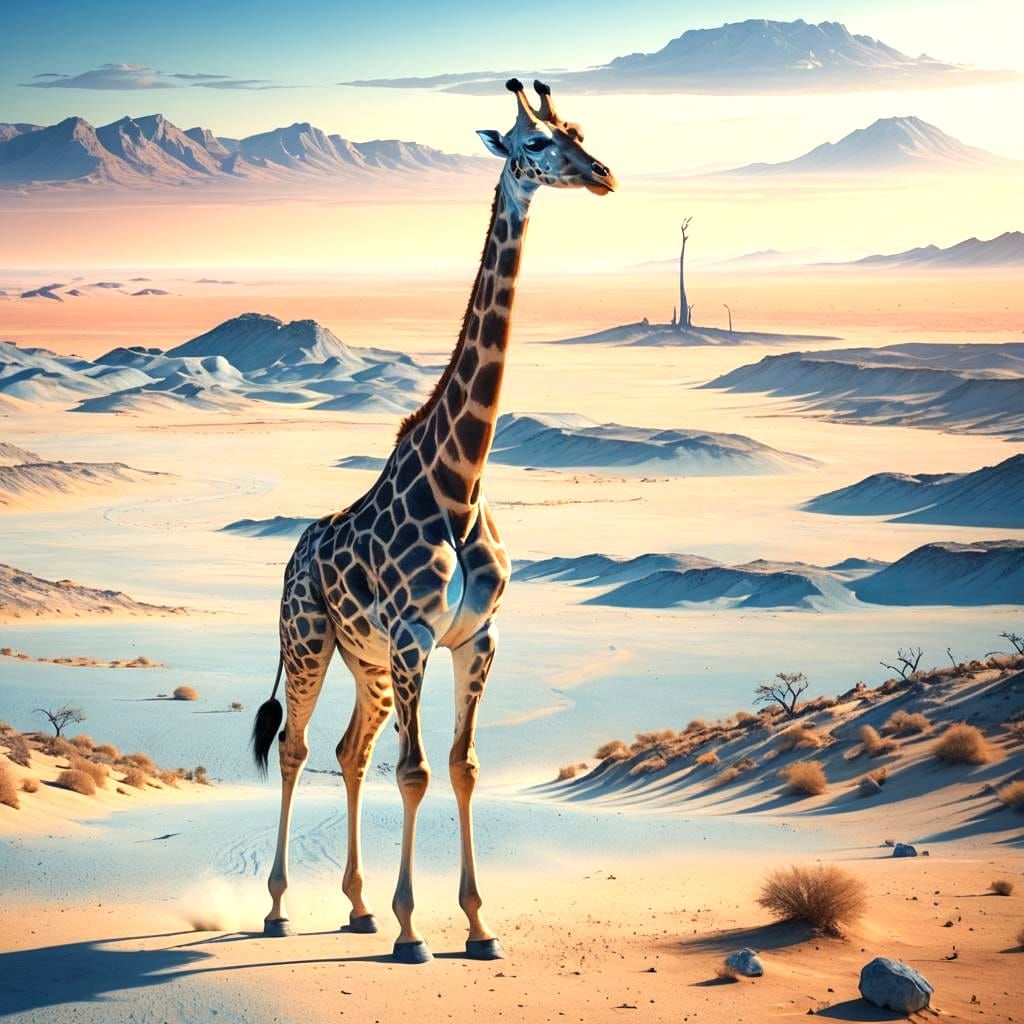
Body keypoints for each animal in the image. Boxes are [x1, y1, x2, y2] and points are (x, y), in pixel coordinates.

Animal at [251, 78, 616, 965]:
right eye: (534, 146)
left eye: (577, 129)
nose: (603, 174)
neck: (460, 481)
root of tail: (293, 554)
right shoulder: (417, 634)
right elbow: (416, 771)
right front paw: (415, 929)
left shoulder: (475, 638)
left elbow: (463, 766)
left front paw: (478, 925)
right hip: (310, 640)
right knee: (298, 747)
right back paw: (279, 907)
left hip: (369, 663)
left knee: (350, 750)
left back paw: (354, 908)